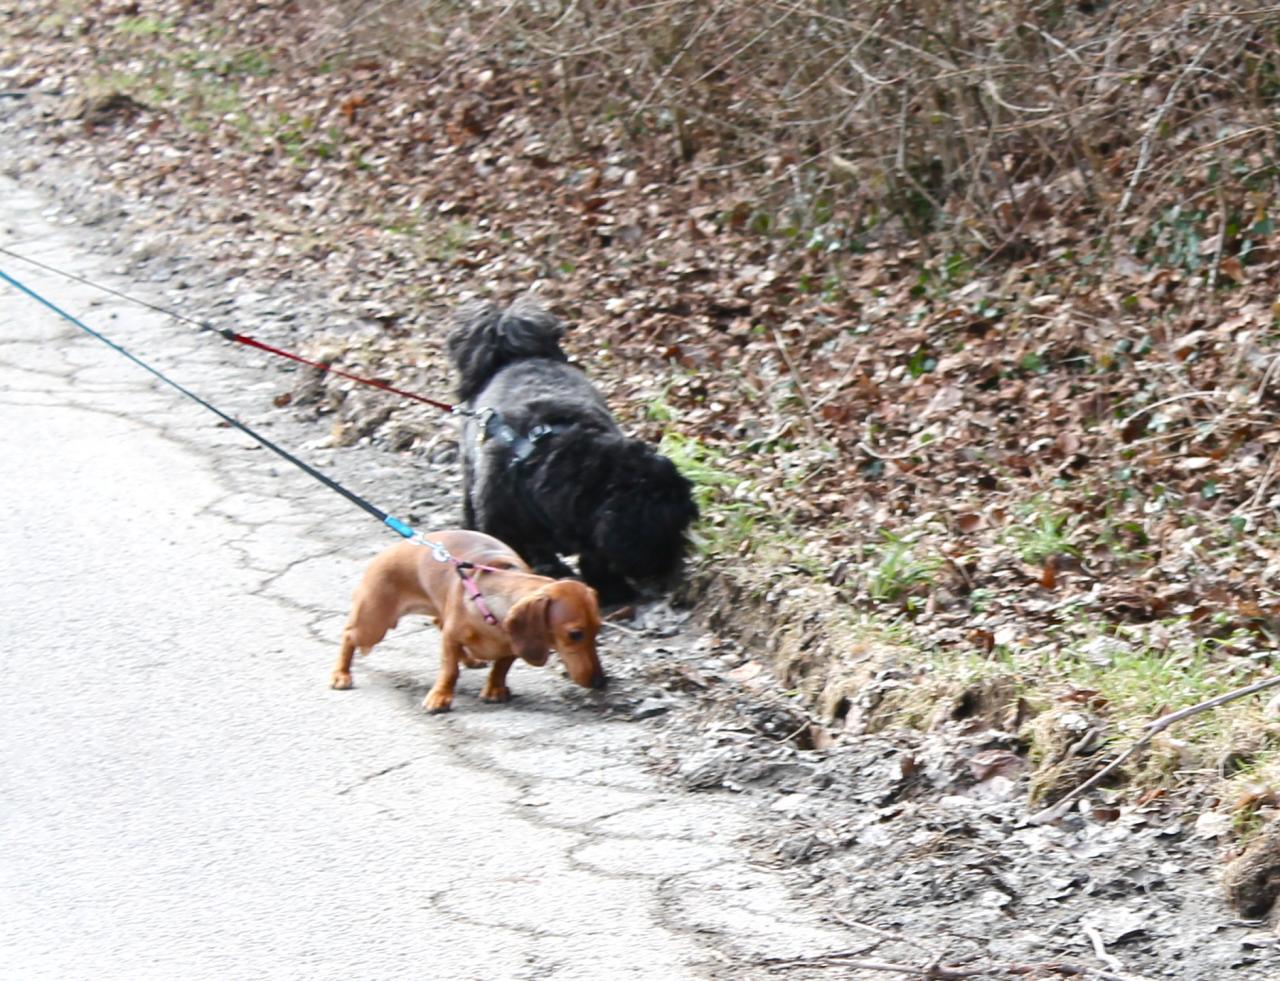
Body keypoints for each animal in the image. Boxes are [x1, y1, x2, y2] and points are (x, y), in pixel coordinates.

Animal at [445, 297, 696, 607]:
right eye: (663, 531)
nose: (672, 569)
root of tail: (513, 355)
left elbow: (595, 557)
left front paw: (612, 589)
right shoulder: (503, 526)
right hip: (471, 467)